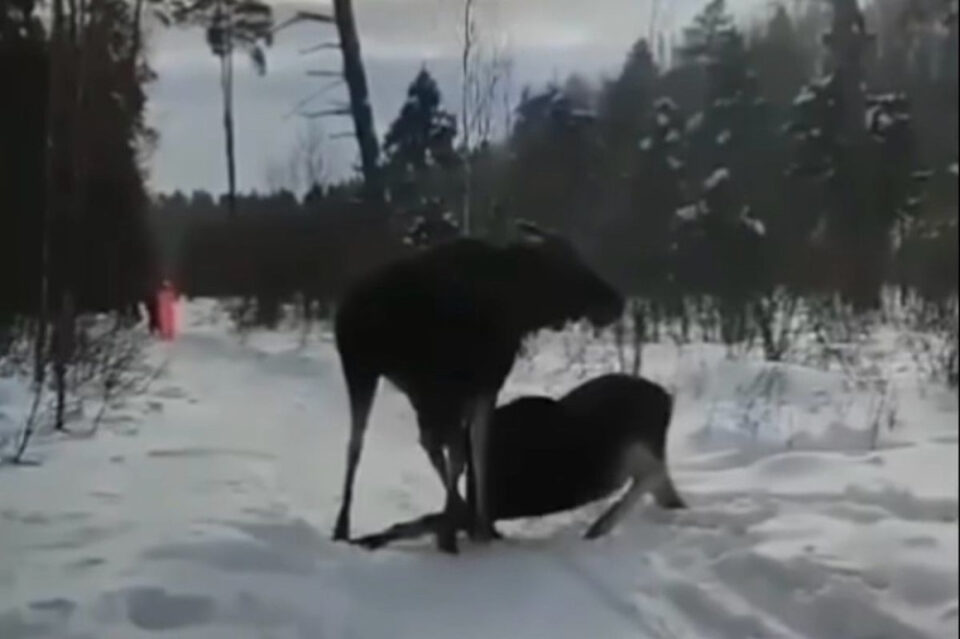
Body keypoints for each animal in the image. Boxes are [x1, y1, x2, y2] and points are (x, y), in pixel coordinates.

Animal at [334, 222, 628, 552]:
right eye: (567, 264)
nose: (615, 302)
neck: (522, 309)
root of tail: (350, 308)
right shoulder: (474, 385)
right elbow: (468, 453)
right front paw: (464, 529)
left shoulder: (470, 389)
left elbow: (473, 451)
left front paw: (476, 525)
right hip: (373, 372)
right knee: (374, 443)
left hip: (390, 380)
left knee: (371, 443)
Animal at [356, 376, 688, 552]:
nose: (427, 437)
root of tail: (667, 397)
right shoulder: (483, 510)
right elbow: (424, 521)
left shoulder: (485, 509)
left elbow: (424, 522)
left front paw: (367, 539)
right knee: (662, 484)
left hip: (630, 452)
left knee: (650, 475)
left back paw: (600, 526)